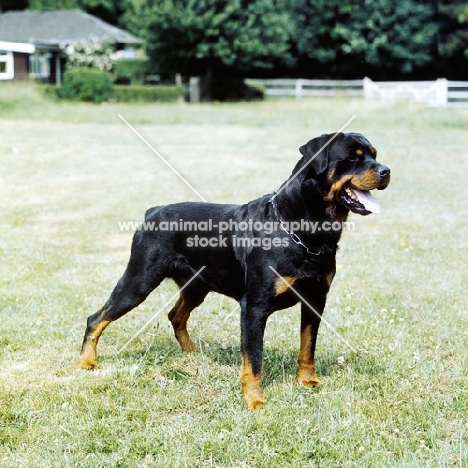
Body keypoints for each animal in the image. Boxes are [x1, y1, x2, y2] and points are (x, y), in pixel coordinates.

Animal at [78, 131, 390, 410]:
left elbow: (307, 346)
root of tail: (152, 211)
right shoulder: (254, 307)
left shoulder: (315, 298)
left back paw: (193, 353)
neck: (303, 229)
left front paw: (307, 380)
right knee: (97, 318)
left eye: (374, 155)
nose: (386, 170)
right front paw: (255, 400)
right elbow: (253, 359)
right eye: (353, 157)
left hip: (196, 286)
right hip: (139, 281)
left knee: (175, 315)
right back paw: (87, 362)